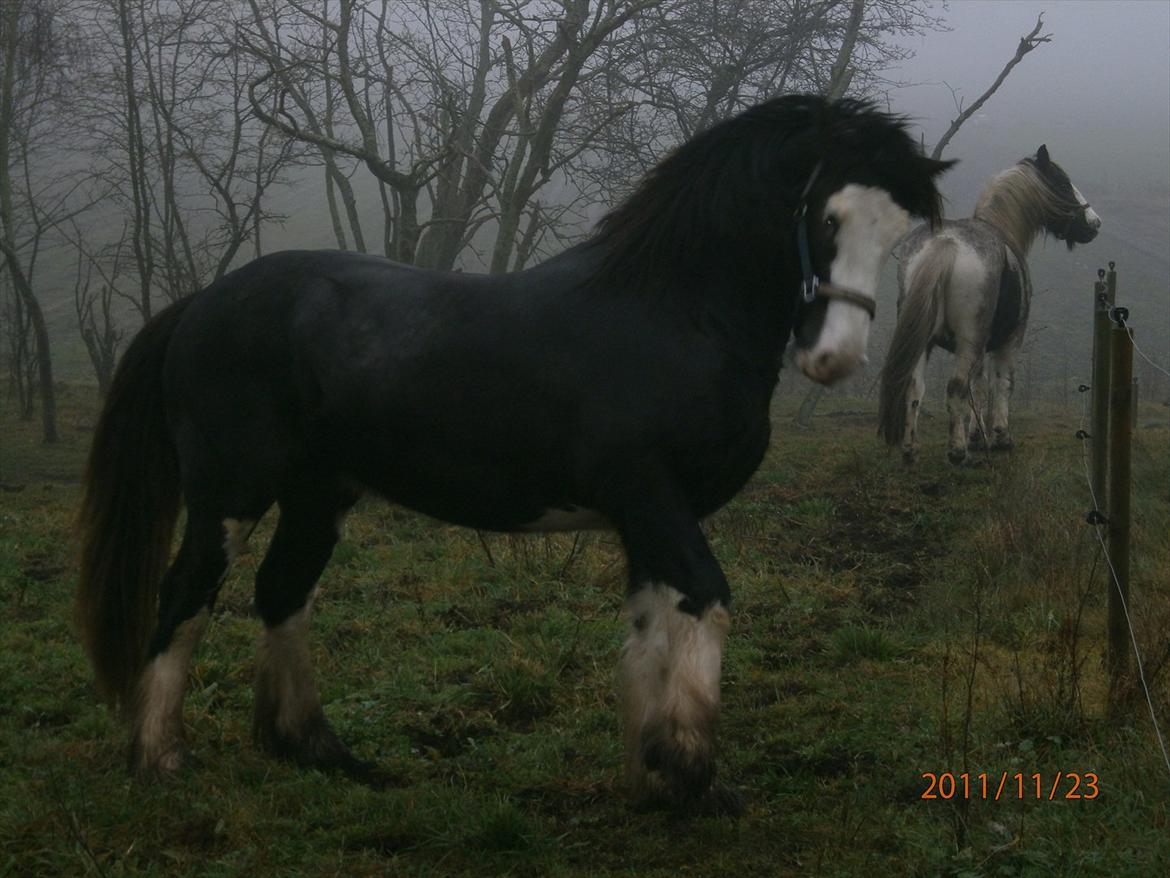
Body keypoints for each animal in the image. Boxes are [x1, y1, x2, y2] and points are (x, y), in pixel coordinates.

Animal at [75, 95, 950, 810]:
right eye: (826, 218)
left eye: (896, 233)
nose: (835, 359)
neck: (671, 317)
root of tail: (204, 302)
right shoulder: (651, 497)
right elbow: (705, 600)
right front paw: (693, 773)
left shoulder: (650, 517)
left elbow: (649, 631)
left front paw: (653, 772)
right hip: (230, 493)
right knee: (186, 596)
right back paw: (160, 759)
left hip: (320, 495)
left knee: (283, 592)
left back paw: (319, 751)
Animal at [879, 146, 1099, 463]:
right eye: (1062, 183)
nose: (1094, 223)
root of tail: (945, 244)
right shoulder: (1009, 341)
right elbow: (1001, 384)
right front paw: (1000, 437)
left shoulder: (980, 348)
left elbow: (979, 387)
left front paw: (977, 435)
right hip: (969, 340)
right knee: (955, 386)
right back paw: (957, 452)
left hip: (924, 340)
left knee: (915, 387)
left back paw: (911, 450)